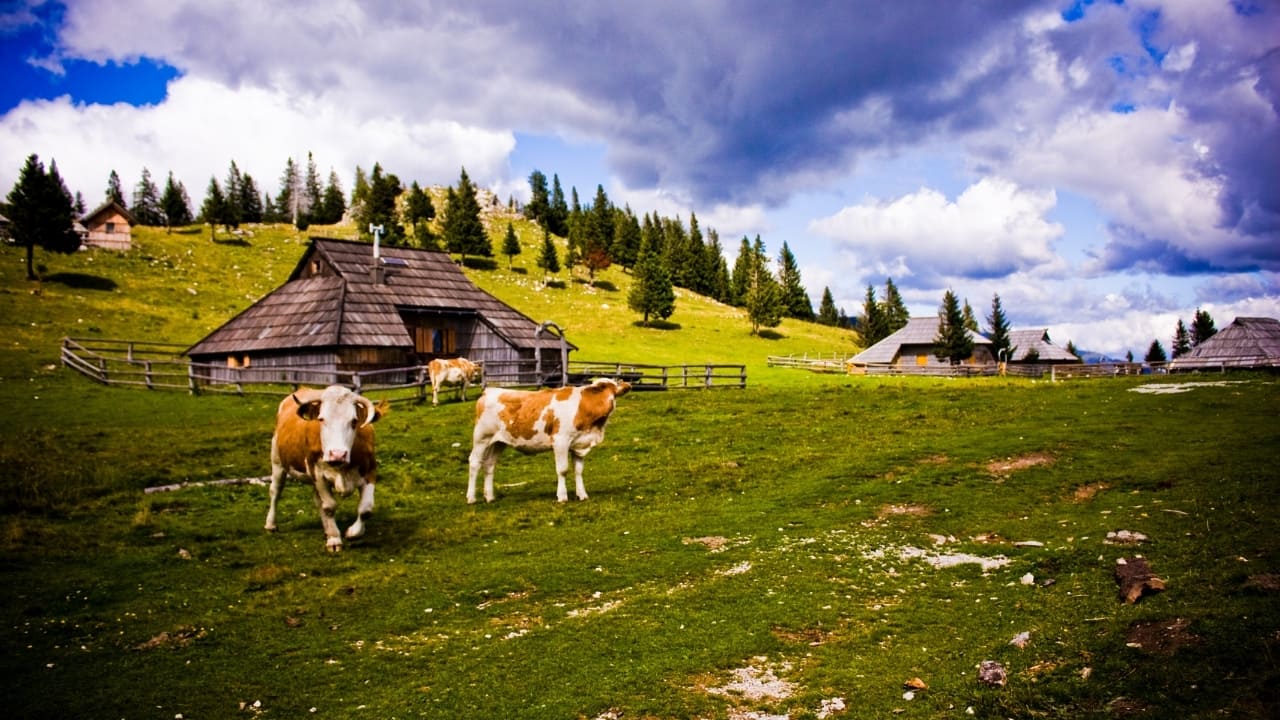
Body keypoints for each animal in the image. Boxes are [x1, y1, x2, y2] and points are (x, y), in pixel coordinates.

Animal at [264, 385, 388, 552]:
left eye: (354, 421)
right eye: (321, 419)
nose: (337, 454)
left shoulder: (370, 471)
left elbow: (366, 509)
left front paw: (353, 532)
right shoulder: (318, 474)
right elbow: (329, 506)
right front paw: (334, 539)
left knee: (318, 501)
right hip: (277, 463)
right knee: (275, 492)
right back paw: (271, 524)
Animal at [467, 378, 631, 504]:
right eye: (597, 388)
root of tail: (489, 391)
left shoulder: (578, 444)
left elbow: (578, 471)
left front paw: (582, 495)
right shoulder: (560, 441)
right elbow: (563, 470)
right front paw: (562, 496)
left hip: (498, 442)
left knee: (489, 464)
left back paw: (489, 497)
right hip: (481, 437)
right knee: (475, 462)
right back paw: (471, 498)